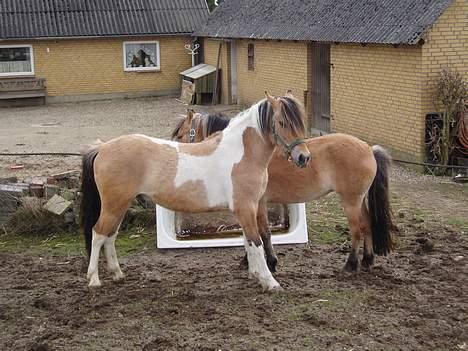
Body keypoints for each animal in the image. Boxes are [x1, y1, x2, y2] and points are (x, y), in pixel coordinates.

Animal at [80, 93, 310, 292]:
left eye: (301, 123)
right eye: (282, 122)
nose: (303, 157)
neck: (241, 154)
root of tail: (103, 148)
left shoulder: (255, 207)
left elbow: (253, 239)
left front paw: (256, 274)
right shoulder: (246, 208)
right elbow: (256, 241)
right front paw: (270, 282)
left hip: (120, 205)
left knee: (110, 236)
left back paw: (117, 274)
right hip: (113, 205)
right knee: (98, 234)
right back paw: (94, 279)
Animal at [172, 111, 394, 274]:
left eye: (181, 135)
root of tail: (368, 148)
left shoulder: (258, 204)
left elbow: (262, 233)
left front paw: (270, 262)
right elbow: (252, 234)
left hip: (350, 201)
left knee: (357, 230)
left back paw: (350, 264)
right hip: (359, 200)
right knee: (367, 225)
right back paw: (367, 260)